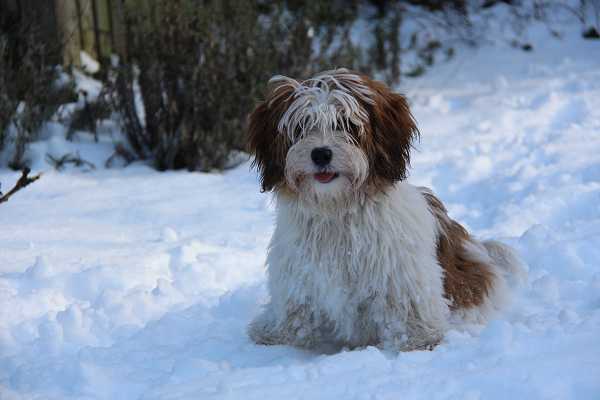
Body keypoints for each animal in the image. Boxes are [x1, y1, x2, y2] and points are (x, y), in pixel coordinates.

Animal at [247, 68, 525, 351]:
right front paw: (280, 335)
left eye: (347, 124)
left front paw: (416, 340)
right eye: (301, 126)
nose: (321, 154)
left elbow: (407, 306)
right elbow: (296, 307)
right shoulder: (297, 273)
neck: (337, 209)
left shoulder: (401, 275)